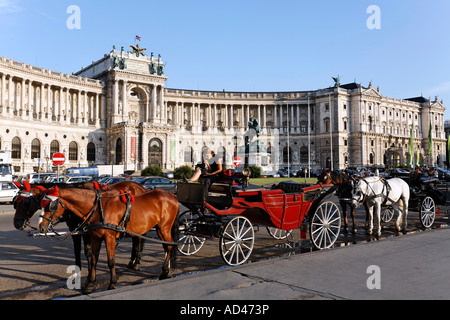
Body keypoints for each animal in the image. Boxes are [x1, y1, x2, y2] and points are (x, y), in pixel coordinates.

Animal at [38, 188, 179, 296]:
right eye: (41, 204)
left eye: (51, 206)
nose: (41, 227)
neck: (98, 207)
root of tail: (172, 195)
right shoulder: (95, 238)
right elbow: (93, 261)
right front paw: (90, 284)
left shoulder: (109, 237)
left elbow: (111, 261)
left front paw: (112, 283)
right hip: (160, 230)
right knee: (167, 247)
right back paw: (165, 270)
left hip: (164, 228)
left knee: (169, 247)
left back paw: (165, 271)